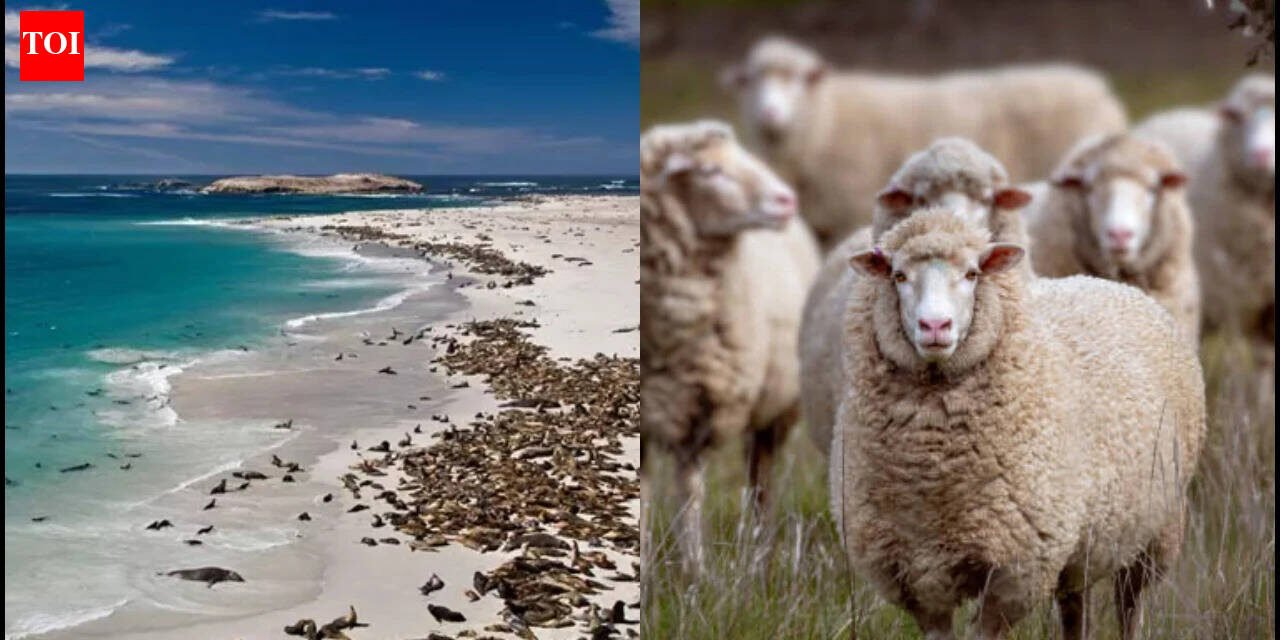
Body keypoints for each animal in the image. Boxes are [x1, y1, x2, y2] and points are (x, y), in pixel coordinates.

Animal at [639, 120, 820, 567]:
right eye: (710, 171)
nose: (786, 199)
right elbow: (644, 492)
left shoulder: (700, 408)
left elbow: (690, 493)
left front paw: (694, 568)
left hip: (776, 409)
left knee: (761, 479)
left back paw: (760, 547)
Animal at [720, 35, 1127, 251]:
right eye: (752, 81)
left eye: (798, 80)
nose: (769, 113)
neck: (825, 118)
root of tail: (1099, 87)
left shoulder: (844, 213)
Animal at [832, 209, 1205, 640]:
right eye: (898, 276)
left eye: (972, 274)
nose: (935, 326)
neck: (933, 471)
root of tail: (1104, 282)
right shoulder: (916, 576)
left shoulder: (1014, 571)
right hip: (1080, 543)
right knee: (1075, 606)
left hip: (1156, 530)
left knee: (1130, 605)